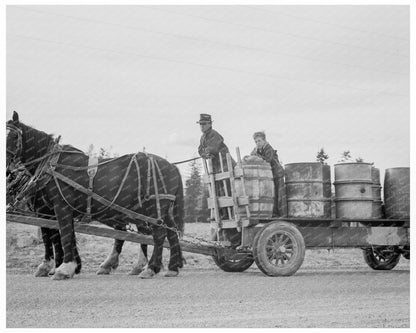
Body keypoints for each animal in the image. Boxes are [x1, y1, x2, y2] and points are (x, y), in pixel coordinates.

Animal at [5, 111, 184, 278]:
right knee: (171, 233)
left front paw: (63, 267)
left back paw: (150, 268)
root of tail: (173, 167)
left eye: (13, 136)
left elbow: (61, 235)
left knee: (158, 234)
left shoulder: (58, 207)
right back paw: (171, 268)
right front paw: (70, 266)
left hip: (153, 207)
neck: (52, 165)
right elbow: (60, 235)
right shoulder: (51, 210)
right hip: (161, 209)